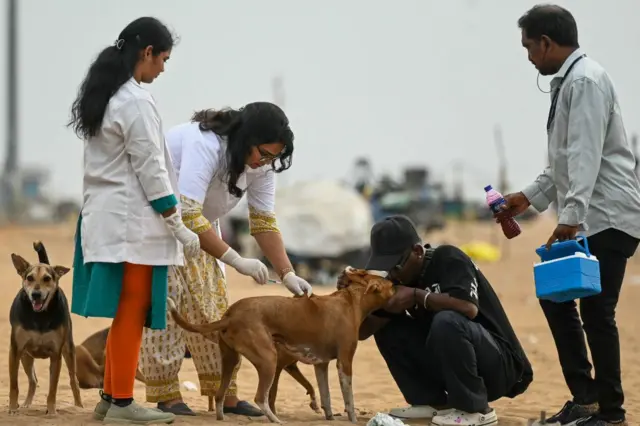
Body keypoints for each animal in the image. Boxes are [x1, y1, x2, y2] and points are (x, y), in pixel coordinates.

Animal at [8, 241, 83, 414]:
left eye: (47, 278)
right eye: (29, 278)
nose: (36, 294)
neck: (40, 315)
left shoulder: (56, 354)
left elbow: (53, 388)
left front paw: (52, 410)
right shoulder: (15, 350)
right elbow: (14, 385)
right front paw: (13, 408)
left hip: (69, 350)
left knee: (73, 380)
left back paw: (79, 407)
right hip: (26, 356)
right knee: (33, 381)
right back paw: (25, 404)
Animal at [166, 266, 396, 422]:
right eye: (392, 286)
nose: (392, 274)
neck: (351, 299)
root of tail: (230, 315)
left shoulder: (321, 365)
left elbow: (326, 395)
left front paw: (329, 415)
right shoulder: (345, 361)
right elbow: (349, 398)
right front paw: (353, 419)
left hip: (230, 361)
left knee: (220, 394)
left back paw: (222, 417)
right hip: (269, 359)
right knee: (261, 397)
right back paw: (275, 420)